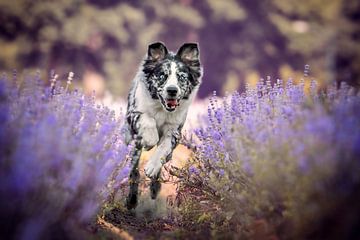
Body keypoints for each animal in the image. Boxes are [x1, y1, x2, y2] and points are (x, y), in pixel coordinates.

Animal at [124, 41, 202, 208]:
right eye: (162, 76)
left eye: (181, 77)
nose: (172, 90)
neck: (161, 108)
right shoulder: (134, 114)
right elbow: (148, 119)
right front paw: (149, 140)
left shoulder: (174, 131)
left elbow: (163, 148)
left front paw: (153, 166)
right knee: (133, 170)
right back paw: (132, 199)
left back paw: (155, 187)